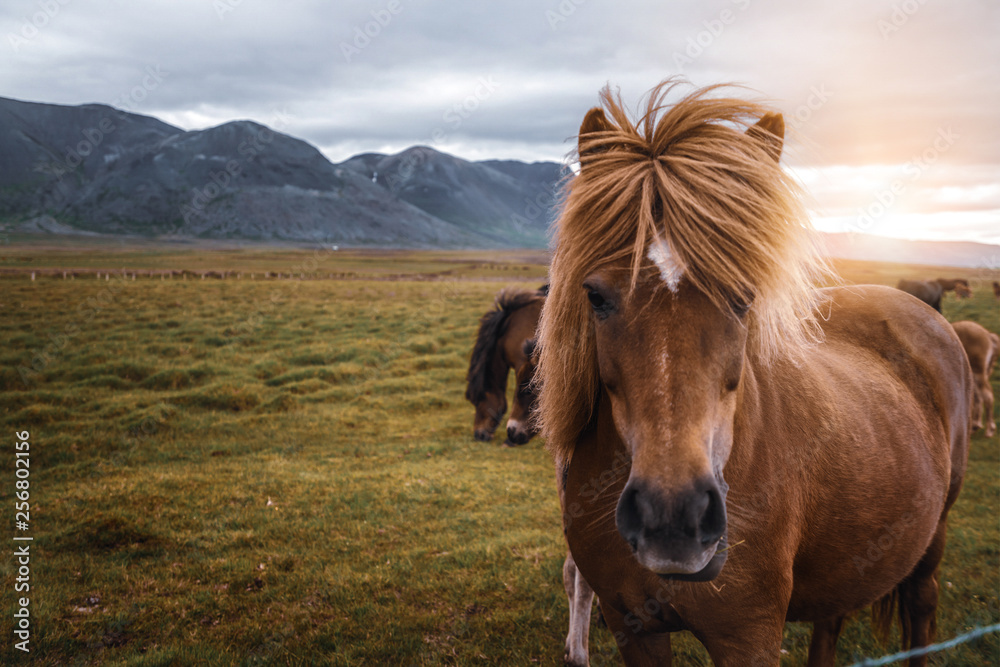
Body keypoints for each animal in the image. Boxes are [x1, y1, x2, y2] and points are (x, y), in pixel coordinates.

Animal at [536, 83, 972, 667]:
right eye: (596, 296)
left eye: (743, 299)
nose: (672, 517)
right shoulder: (632, 627)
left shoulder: (749, 635)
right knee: (832, 619)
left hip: (933, 537)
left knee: (922, 607)